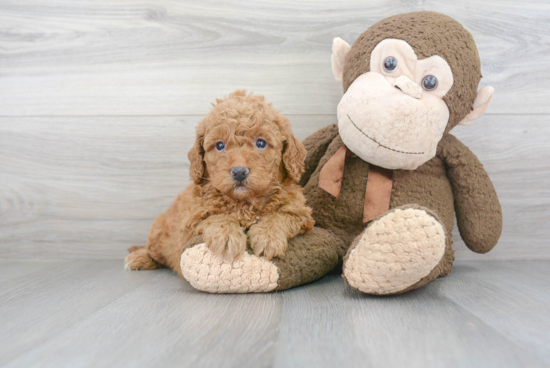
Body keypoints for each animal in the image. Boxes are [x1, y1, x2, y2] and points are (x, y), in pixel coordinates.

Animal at [125, 90, 314, 278]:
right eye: (220, 145)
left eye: (260, 143)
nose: (239, 172)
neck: (244, 203)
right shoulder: (189, 225)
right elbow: (215, 216)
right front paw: (227, 236)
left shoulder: (301, 214)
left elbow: (280, 215)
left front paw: (268, 237)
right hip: (159, 232)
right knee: (153, 251)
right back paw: (138, 258)